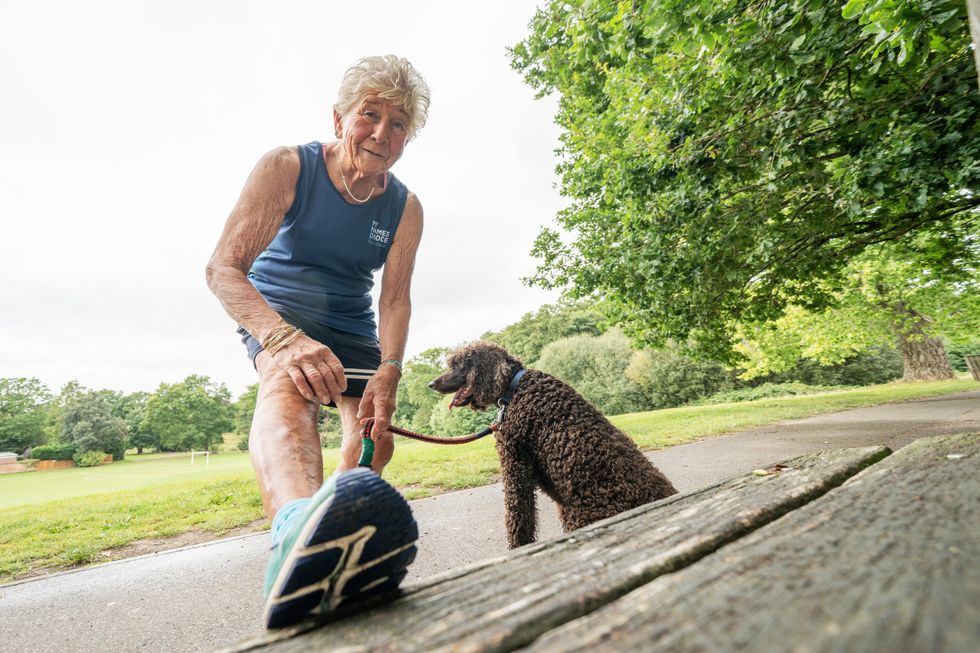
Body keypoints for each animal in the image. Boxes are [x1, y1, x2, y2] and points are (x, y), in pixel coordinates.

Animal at [432, 338, 676, 548]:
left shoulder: (515, 466)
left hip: (581, 516)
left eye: (460, 365)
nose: (431, 383)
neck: (516, 387)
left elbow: (518, 519)